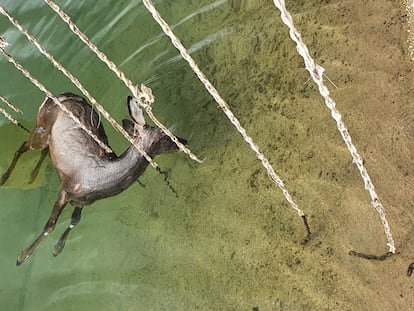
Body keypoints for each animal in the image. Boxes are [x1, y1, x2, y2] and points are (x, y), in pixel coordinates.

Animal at [0, 93, 186, 266]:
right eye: (164, 135)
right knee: (23, 146)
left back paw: (32, 175)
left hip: (48, 138)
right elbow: (49, 226)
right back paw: (5, 178)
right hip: (42, 128)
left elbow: (75, 220)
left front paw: (57, 248)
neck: (100, 181)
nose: (184, 141)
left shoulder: (85, 201)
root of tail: (56, 96)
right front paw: (22, 256)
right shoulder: (65, 190)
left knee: (43, 150)